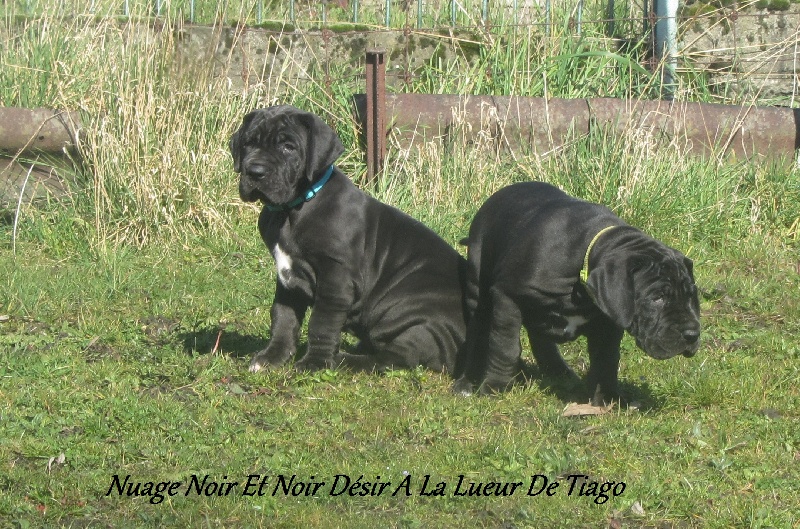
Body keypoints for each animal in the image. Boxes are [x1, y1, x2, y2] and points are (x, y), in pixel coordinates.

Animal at [228, 105, 466, 374]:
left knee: (398, 356)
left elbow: (321, 323)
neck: (293, 210)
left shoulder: (336, 279)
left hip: (414, 314)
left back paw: (344, 359)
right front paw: (273, 357)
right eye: (248, 143)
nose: (254, 171)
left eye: (288, 147)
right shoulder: (288, 280)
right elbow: (283, 317)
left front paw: (314, 363)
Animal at [456, 182, 700, 404]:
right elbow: (504, 346)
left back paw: (558, 371)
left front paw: (607, 396)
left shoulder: (609, 320)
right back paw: (467, 382)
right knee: (479, 330)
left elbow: (607, 359)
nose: (692, 334)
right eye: (656, 298)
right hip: (479, 287)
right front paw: (495, 386)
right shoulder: (507, 297)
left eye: (690, 296)